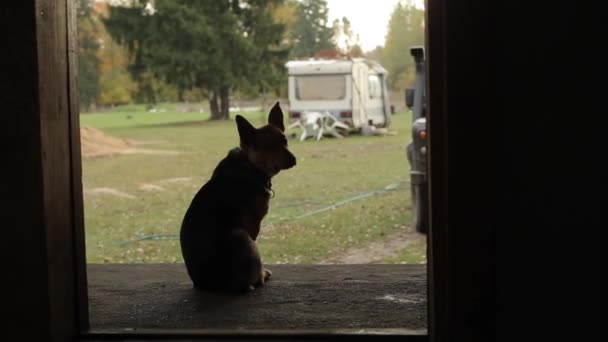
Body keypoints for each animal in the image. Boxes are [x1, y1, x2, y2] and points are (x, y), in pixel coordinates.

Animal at [179, 102, 296, 294]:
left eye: (285, 140)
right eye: (269, 147)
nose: (293, 160)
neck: (251, 164)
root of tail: (209, 284)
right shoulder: (253, 227)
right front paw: (262, 273)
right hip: (243, 237)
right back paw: (260, 277)